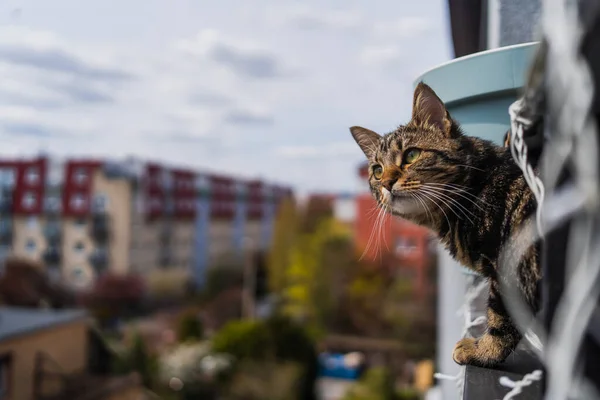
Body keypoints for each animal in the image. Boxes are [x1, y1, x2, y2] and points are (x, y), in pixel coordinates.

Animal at [350, 83, 540, 368]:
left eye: (412, 154)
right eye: (377, 170)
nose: (386, 183)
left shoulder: (511, 265)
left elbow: (501, 319)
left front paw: (483, 351)